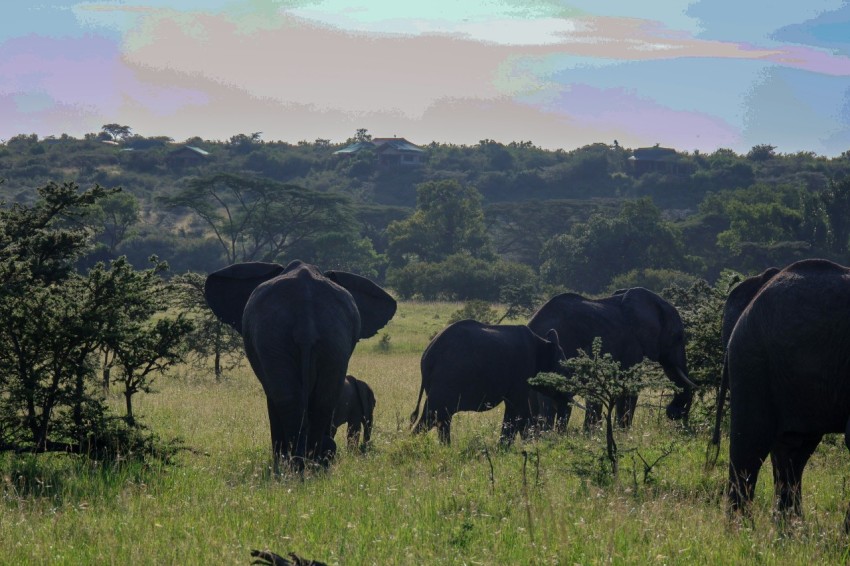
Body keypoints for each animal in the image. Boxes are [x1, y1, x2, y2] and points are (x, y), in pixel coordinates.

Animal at [204, 260, 396, 470]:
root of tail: (306, 317)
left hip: (275, 338)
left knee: (286, 398)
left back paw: (294, 464)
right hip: (334, 338)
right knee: (323, 399)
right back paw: (314, 462)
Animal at [410, 320, 565, 445]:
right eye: (565, 371)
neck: (543, 343)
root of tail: (427, 356)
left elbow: (519, 410)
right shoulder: (522, 371)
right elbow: (517, 409)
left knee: (441, 418)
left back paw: (444, 448)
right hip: (445, 379)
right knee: (432, 416)